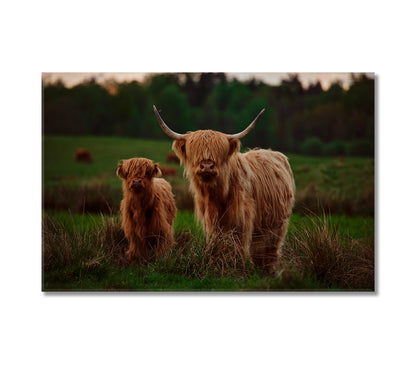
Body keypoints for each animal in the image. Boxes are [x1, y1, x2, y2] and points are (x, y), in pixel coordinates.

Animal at [154, 105, 296, 272]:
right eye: (195, 150)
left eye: (219, 151)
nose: (207, 166)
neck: (217, 195)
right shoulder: (210, 220)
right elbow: (217, 240)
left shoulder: (242, 219)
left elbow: (238, 243)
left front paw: (236, 264)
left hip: (277, 222)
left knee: (268, 246)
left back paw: (267, 269)